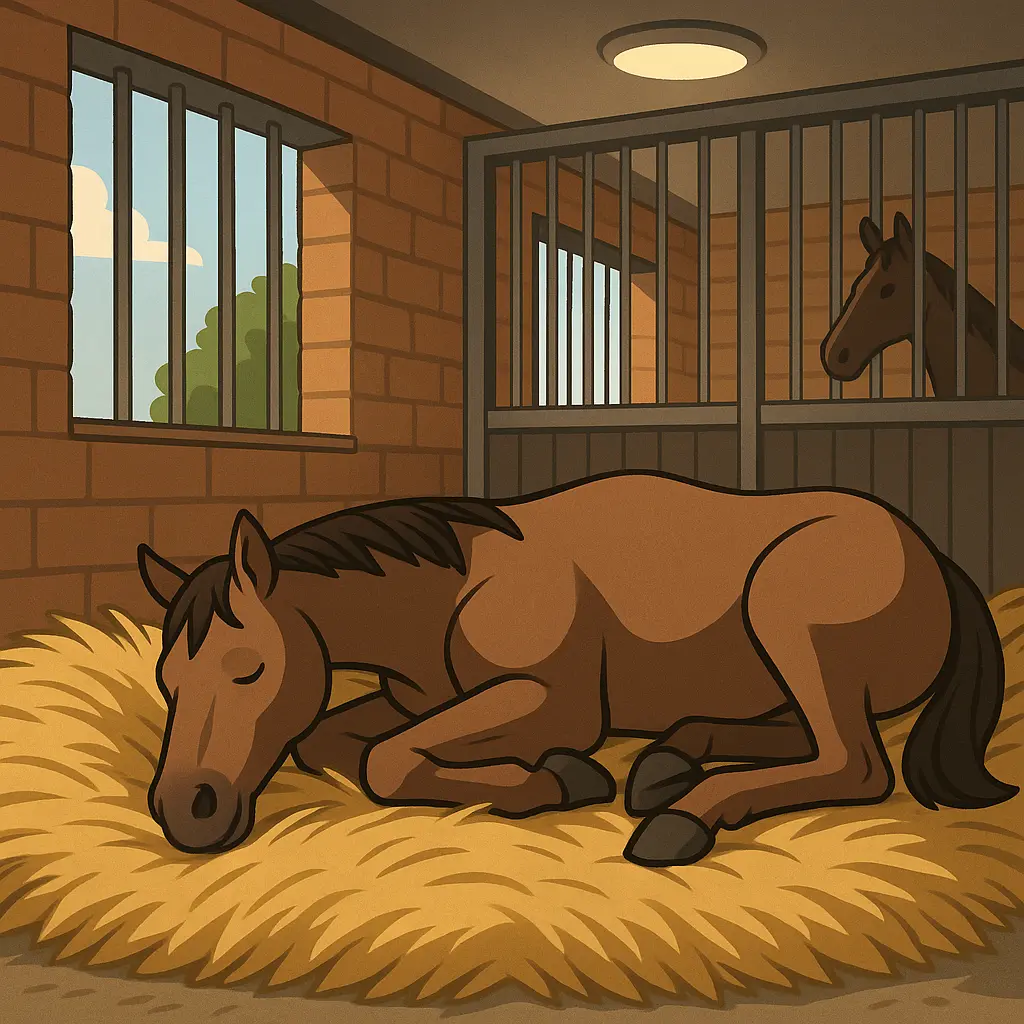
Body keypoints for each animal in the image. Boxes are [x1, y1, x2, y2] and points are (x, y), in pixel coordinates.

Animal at [137, 471, 1018, 869]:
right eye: (169, 683)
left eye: (249, 669)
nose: (187, 811)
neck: (456, 585)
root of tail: (933, 557)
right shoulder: (408, 698)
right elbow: (331, 743)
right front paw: (552, 774)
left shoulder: (551, 701)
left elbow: (386, 761)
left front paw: (556, 778)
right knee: (797, 739)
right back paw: (667, 764)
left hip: (789, 622)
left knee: (853, 762)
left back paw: (681, 814)